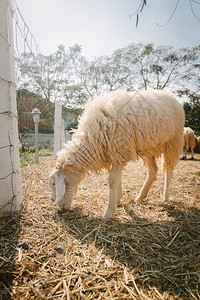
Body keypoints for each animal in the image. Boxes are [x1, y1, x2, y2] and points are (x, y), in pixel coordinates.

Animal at [48, 89, 184, 218]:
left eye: (54, 184)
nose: (61, 208)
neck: (92, 139)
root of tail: (172, 97)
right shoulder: (114, 154)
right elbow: (118, 179)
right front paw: (118, 200)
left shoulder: (119, 152)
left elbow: (112, 181)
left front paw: (109, 211)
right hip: (149, 147)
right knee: (153, 171)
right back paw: (139, 198)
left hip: (174, 141)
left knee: (169, 170)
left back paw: (165, 197)